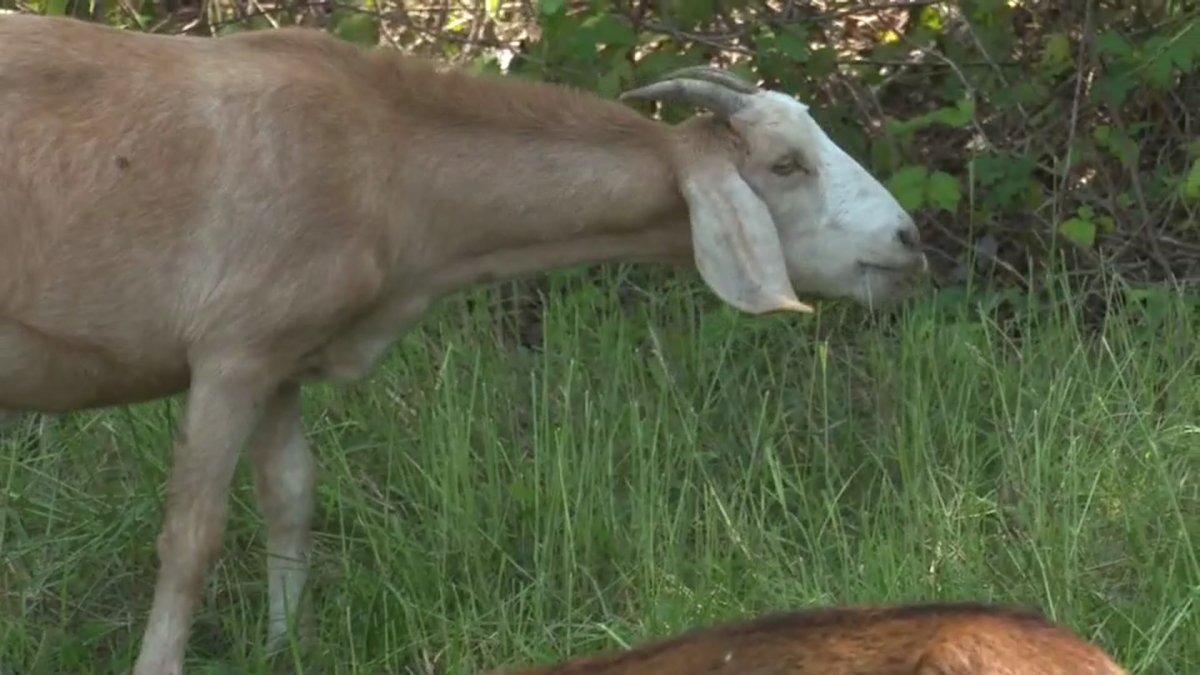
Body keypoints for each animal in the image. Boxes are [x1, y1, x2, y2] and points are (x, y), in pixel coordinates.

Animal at [0, 13, 928, 674]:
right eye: (785, 165)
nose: (909, 240)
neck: (386, 160)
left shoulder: (280, 358)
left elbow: (292, 500)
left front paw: (285, 647)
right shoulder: (231, 351)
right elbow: (192, 539)